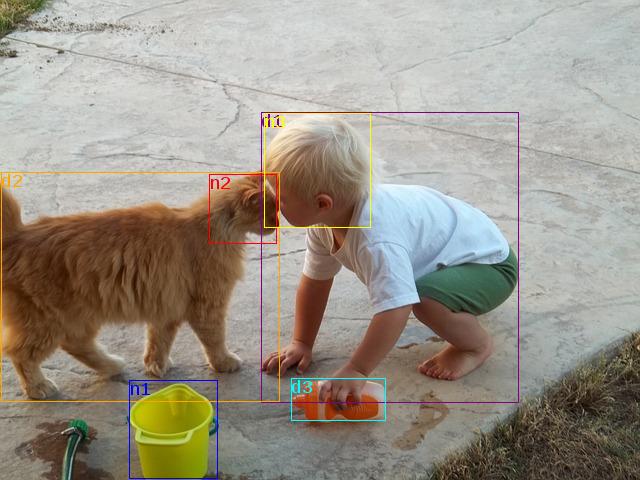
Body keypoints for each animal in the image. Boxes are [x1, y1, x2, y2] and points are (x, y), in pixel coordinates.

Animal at [1, 174, 277, 399]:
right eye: (270, 213)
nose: (276, 225)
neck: (214, 228)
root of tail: (18, 234)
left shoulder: (166, 307)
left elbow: (158, 342)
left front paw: (156, 367)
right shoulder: (207, 305)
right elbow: (215, 340)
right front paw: (224, 362)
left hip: (78, 317)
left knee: (76, 345)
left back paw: (112, 365)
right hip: (49, 321)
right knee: (20, 353)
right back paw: (39, 387)